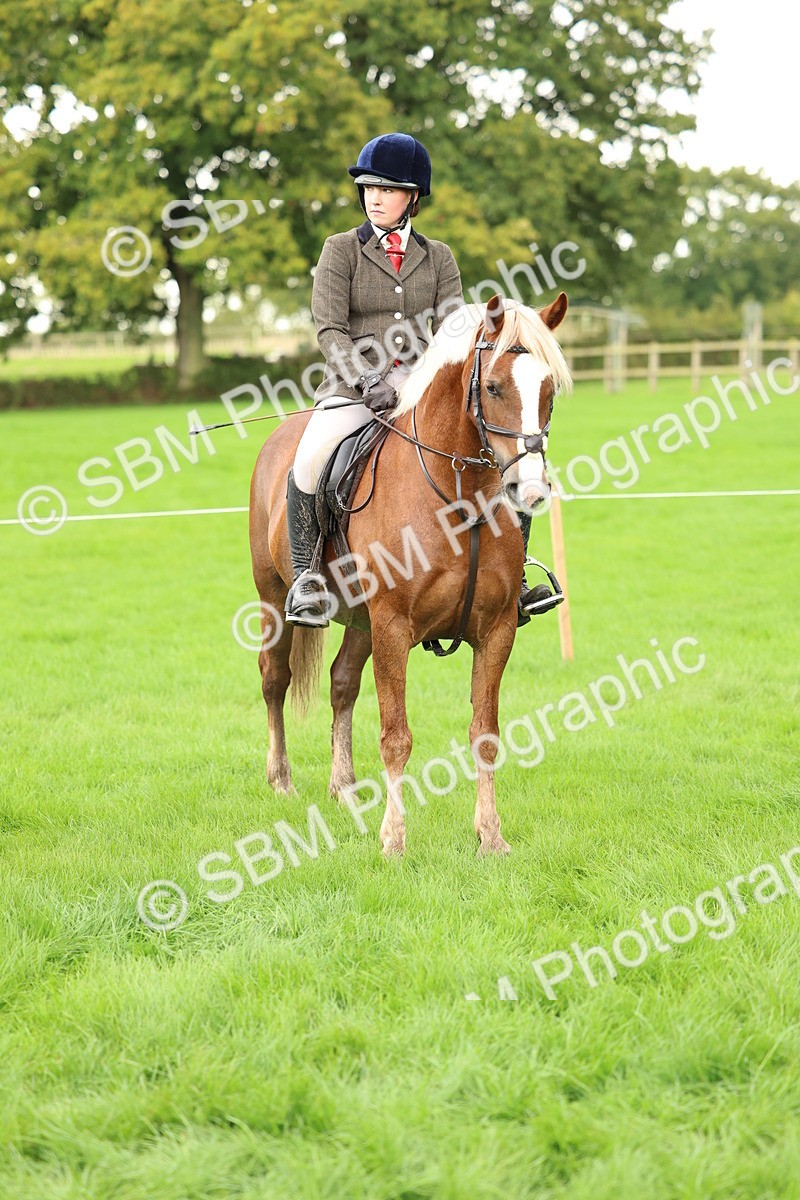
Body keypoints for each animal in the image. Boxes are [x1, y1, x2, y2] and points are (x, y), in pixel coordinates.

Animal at [248, 292, 571, 856]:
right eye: (493, 387)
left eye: (549, 390)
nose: (530, 490)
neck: (458, 499)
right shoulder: (394, 626)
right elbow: (396, 736)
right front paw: (394, 840)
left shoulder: (496, 631)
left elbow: (485, 733)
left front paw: (490, 837)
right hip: (276, 598)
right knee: (275, 679)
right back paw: (282, 780)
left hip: (361, 622)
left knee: (342, 683)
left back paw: (344, 789)